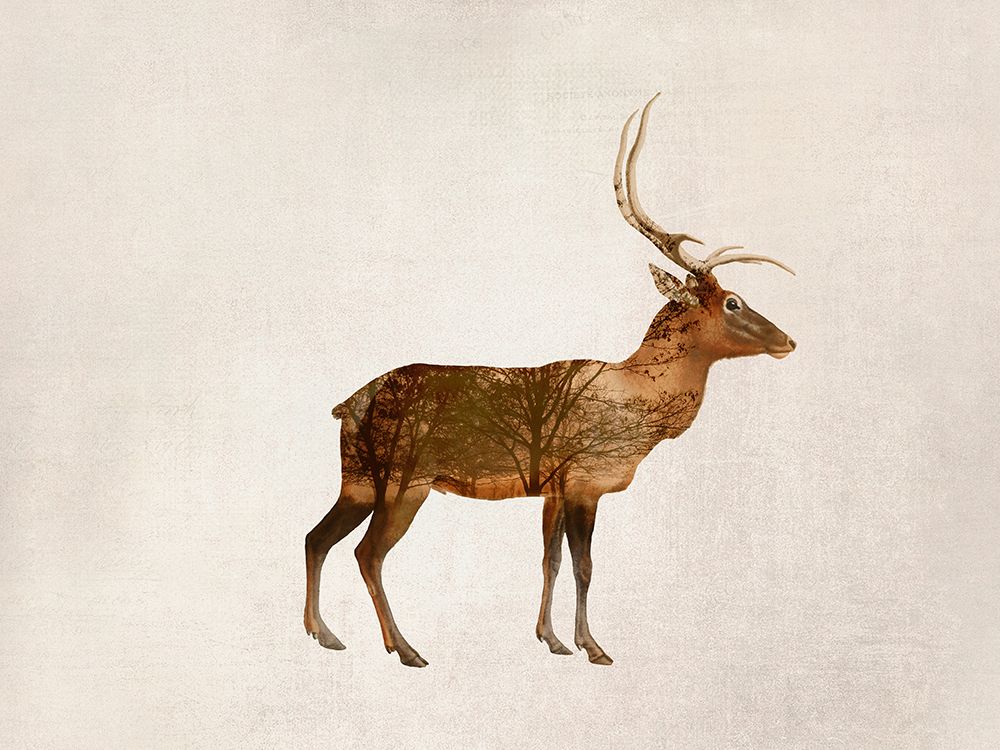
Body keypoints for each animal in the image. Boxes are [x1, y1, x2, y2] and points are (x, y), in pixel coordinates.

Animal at [303, 93, 796, 667]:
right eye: (733, 301)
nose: (788, 340)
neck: (636, 403)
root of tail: (348, 405)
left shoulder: (553, 488)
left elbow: (550, 560)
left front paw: (552, 639)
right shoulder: (585, 478)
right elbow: (584, 565)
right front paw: (593, 646)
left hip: (358, 477)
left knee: (316, 538)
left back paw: (325, 633)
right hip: (407, 478)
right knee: (367, 552)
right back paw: (405, 649)